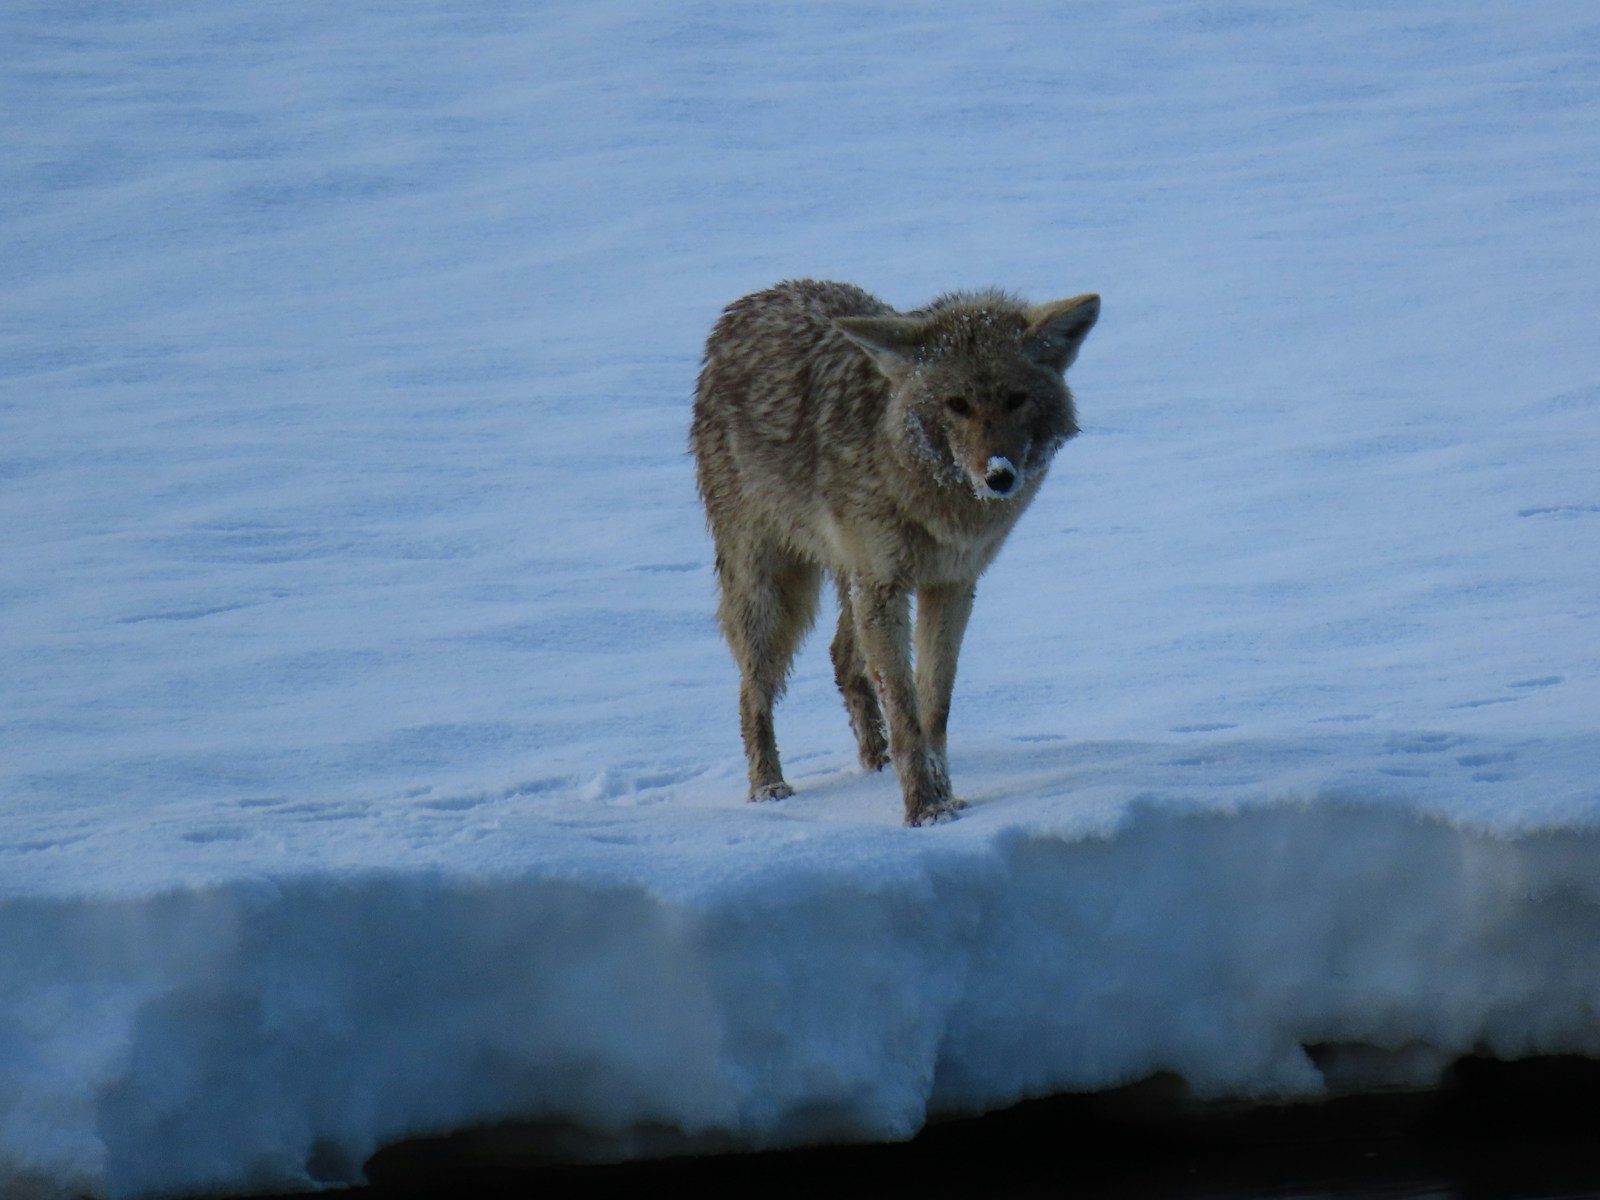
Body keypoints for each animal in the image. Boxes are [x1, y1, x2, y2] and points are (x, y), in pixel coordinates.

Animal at [691, 279, 1099, 826]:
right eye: (956, 404)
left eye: (1017, 399)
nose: (999, 475)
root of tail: (748, 303)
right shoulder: (885, 586)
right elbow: (905, 711)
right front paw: (924, 810)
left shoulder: (950, 585)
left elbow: (934, 708)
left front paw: (944, 795)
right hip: (773, 590)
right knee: (750, 689)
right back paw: (768, 788)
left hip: (848, 582)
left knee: (842, 658)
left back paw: (875, 763)